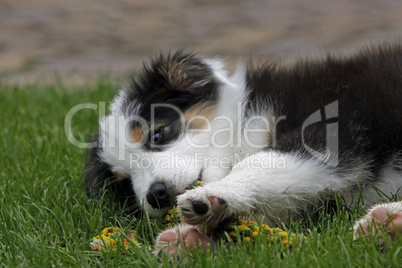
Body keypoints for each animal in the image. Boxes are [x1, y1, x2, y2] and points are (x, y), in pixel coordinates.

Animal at [83, 45, 400, 258]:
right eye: (124, 183)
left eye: (157, 134)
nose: (155, 194)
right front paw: (190, 240)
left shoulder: (333, 126)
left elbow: (263, 162)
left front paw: (211, 197)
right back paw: (385, 224)